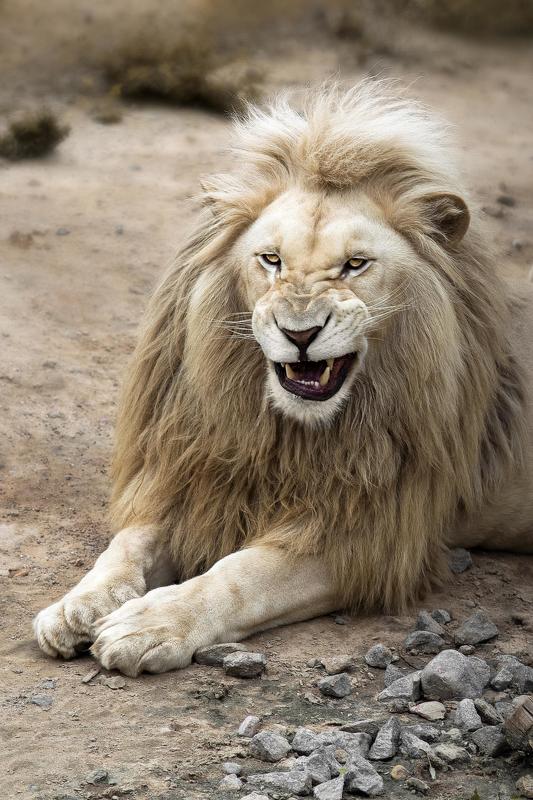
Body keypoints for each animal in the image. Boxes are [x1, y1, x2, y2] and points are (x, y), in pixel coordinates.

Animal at [34, 82, 533, 676]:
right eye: (271, 259)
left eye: (356, 264)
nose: (300, 333)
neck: (286, 432)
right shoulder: (194, 478)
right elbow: (129, 543)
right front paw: (79, 605)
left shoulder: (369, 533)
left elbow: (242, 576)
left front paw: (148, 624)